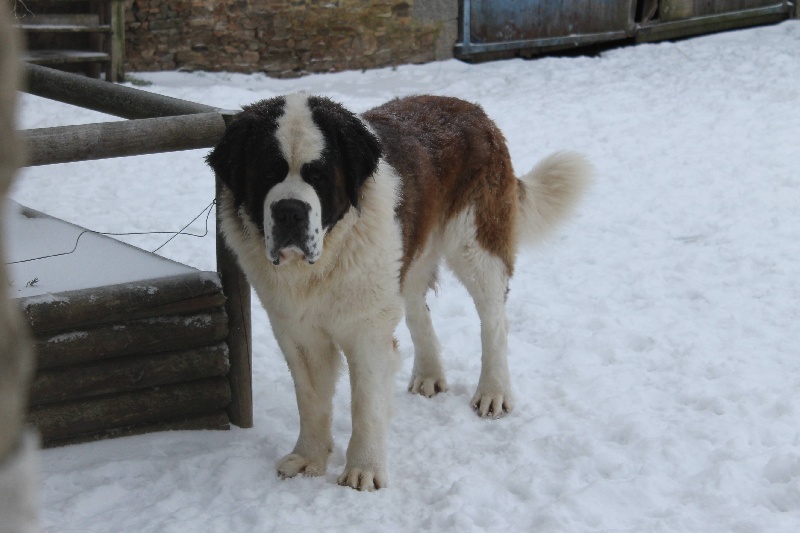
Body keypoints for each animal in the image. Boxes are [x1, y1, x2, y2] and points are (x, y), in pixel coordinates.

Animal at [209, 92, 592, 490]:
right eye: (267, 173)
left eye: (319, 175)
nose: (289, 211)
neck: (322, 262)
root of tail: (472, 109)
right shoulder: (298, 331)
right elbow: (311, 400)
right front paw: (308, 459)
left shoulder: (367, 332)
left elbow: (365, 404)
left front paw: (363, 470)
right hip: (405, 258)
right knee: (418, 311)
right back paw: (429, 373)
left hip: (475, 244)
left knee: (494, 322)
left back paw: (493, 392)